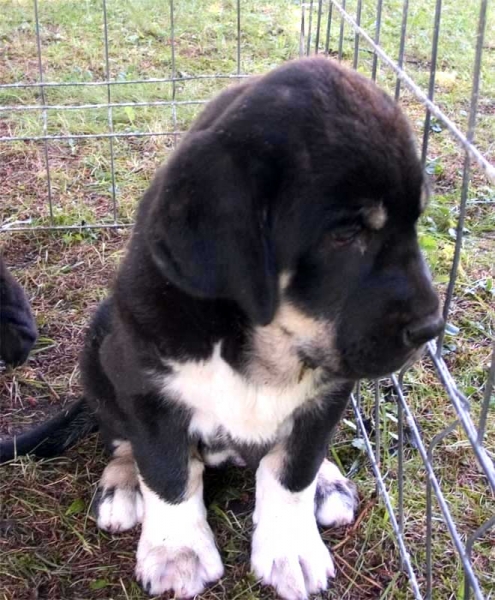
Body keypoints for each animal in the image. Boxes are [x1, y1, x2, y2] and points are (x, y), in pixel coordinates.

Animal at [1, 57, 446, 600]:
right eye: (346, 233)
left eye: (415, 221)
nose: (431, 327)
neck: (260, 343)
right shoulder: (147, 390)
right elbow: (168, 473)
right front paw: (177, 552)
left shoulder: (329, 394)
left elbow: (293, 470)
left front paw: (291, 546)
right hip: (101, 348)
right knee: (119, 436)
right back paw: (122, 482)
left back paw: (327, 480)